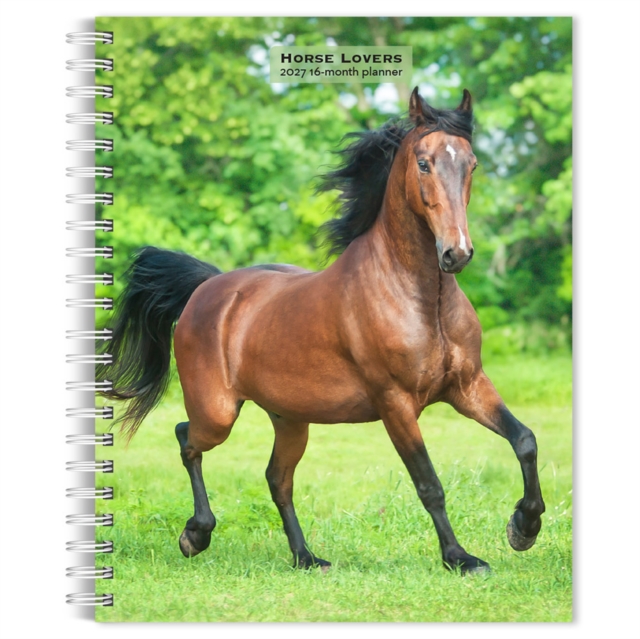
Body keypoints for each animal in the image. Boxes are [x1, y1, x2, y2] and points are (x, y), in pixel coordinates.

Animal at [99, 88, 545, 574]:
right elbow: (429, 483)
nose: (456, 253)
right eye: (424, 163)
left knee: (277, 478)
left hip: (290, 419)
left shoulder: (467, 386)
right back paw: (196, 535)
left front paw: (524, 527)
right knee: (187, 438)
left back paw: (305, 557)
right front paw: (460, 558)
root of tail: (207, 287)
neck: (424, 301)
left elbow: (524, 439)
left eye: (472, 164)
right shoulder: (396, 403)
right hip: (218, 412)